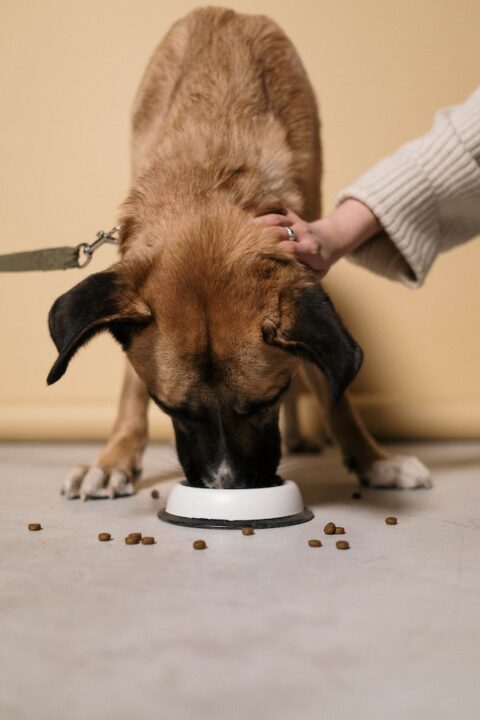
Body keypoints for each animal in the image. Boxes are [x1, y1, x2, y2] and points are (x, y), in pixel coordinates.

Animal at [47, 8, 432, 498]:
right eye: (171, 409)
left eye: (266, 401)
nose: (226, 488)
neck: (210, 175)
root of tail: (227, 11)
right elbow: (130, 387)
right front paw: (114, 457)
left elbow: (331, 385)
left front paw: (374, 459)